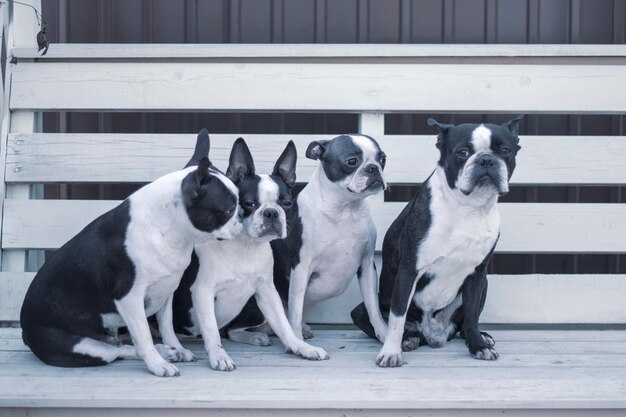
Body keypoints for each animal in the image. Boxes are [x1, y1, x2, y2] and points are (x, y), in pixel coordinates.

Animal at [20, 128, 241, 376]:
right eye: (229, 210)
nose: (243, 214)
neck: (169, 229)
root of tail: (24, 330)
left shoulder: (167, 288)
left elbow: (166, 325)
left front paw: (175, 347)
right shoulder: (129, 298)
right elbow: (143, 336)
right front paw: (158, 365)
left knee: (123, 347)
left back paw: (166, 351)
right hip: (82, 347)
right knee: (120, 350)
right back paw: (160, 356)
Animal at [171, 138, 326, 368]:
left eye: (287, 203)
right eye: (249, 203)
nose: (271, 213)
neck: (246, 245)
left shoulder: (267, 291)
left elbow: (283, 325)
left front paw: (301, 347)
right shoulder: (202, 291)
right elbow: (211, 330)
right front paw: (219, 356)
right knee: (228, 331)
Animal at [352, 115, 520, 366]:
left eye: (505, 151)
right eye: (462, 152)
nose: (487, 160)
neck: (468, 207)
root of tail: (433, 334)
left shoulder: (478, 275)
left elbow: (472, 315)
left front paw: (478, 345)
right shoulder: (409, 270)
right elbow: (397, 317)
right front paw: (391, 352)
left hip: (484, 285)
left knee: (463, 324)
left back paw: (480, 336)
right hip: (367, 308)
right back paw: (409, 338)